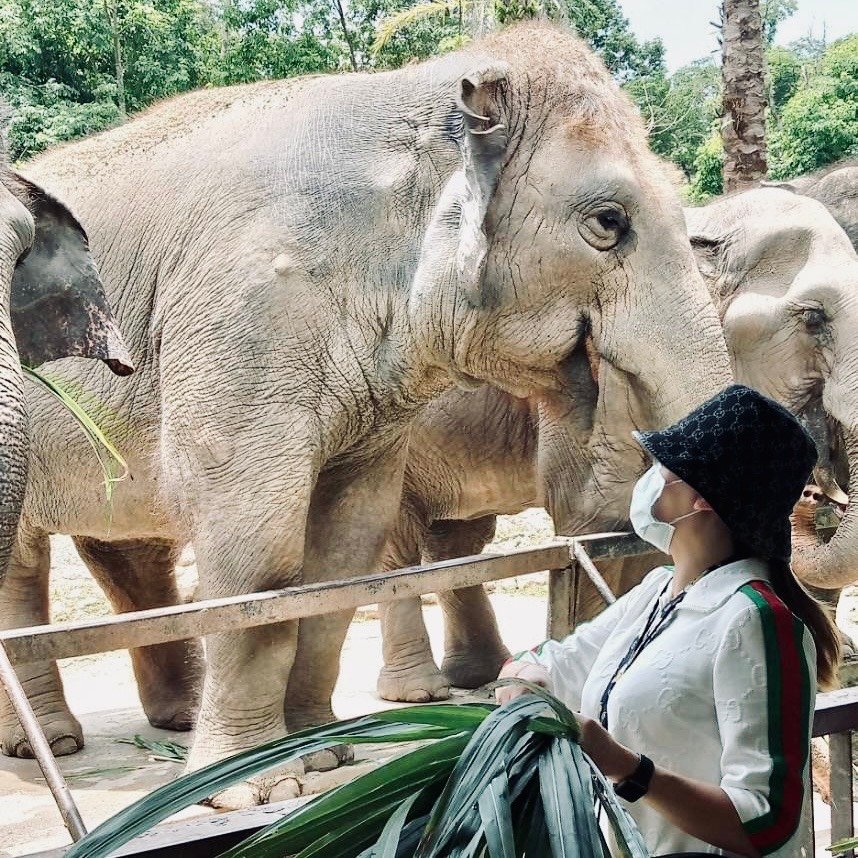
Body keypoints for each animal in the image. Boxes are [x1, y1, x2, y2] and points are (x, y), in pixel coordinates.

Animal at [5, 23, 728, 804]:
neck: (416, 89)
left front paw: (323, 754)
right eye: (608, 222)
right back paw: (52, 742)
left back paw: (174, 719)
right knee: (27, 565)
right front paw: (258, 789)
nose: (602, 376)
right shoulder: (245, 318)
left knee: (129, 551)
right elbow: (256, 541)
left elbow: (348, 546)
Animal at [378, 184, 856, 700]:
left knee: (458, 541)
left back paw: (477, 674)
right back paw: (420, 693)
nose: (813, 495)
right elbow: (597, 521)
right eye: (814, 319)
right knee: (398, 542)